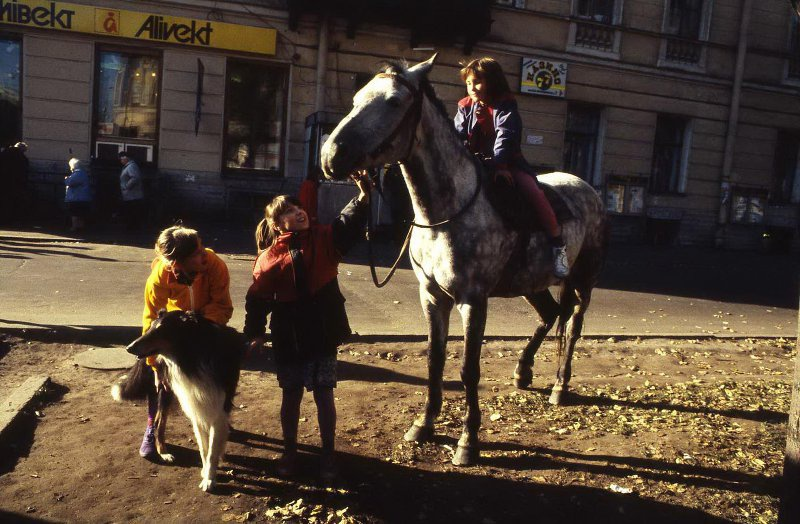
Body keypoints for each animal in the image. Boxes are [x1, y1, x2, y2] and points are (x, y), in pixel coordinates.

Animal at [318, 55, 608, 464]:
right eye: (357, 97)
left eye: (393, 101)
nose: (331, 156)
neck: (447, 212)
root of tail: (587, 189)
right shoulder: (431, 297)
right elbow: (435, 360)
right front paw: (423, 425)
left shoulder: (472, 300)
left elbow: (470, 369)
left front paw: (468, 440)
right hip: (531, 284)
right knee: (551, 315)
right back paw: (523, 371)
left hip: (583, 280)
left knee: (572, 327)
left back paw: (559, 387)